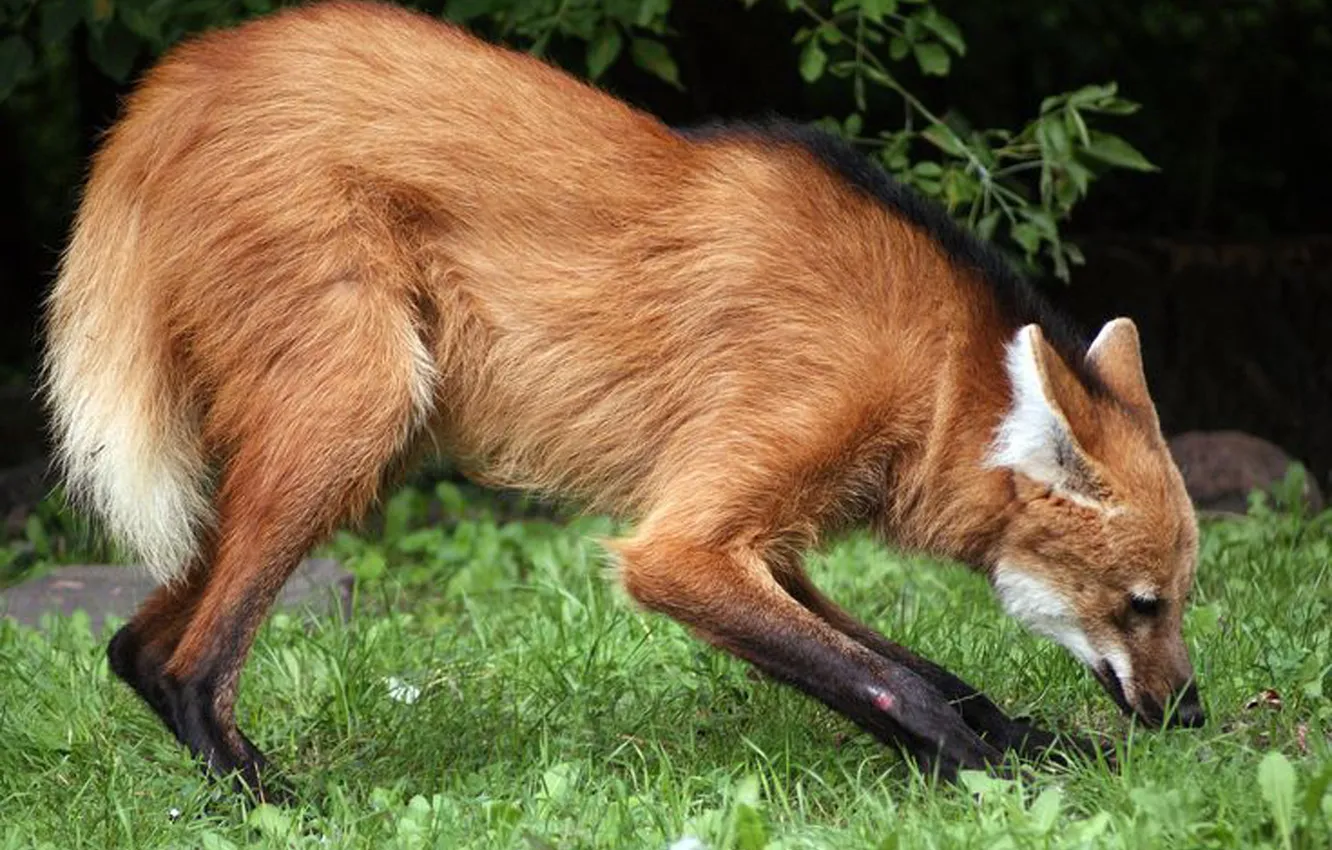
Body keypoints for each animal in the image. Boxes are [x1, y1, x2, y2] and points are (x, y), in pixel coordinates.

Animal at [43, 0, 1203, 798]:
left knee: (134, 645)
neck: (932, 372)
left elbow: (910, 665)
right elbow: (892, 680)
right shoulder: (683, 547)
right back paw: (275, 801)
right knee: (193, 663)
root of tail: (178, 80)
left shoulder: (762, 538)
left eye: (1179, 600)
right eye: (1142, 604)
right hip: (360, 408)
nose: (1187, 716)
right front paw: (989, 774)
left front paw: (1029, 744)